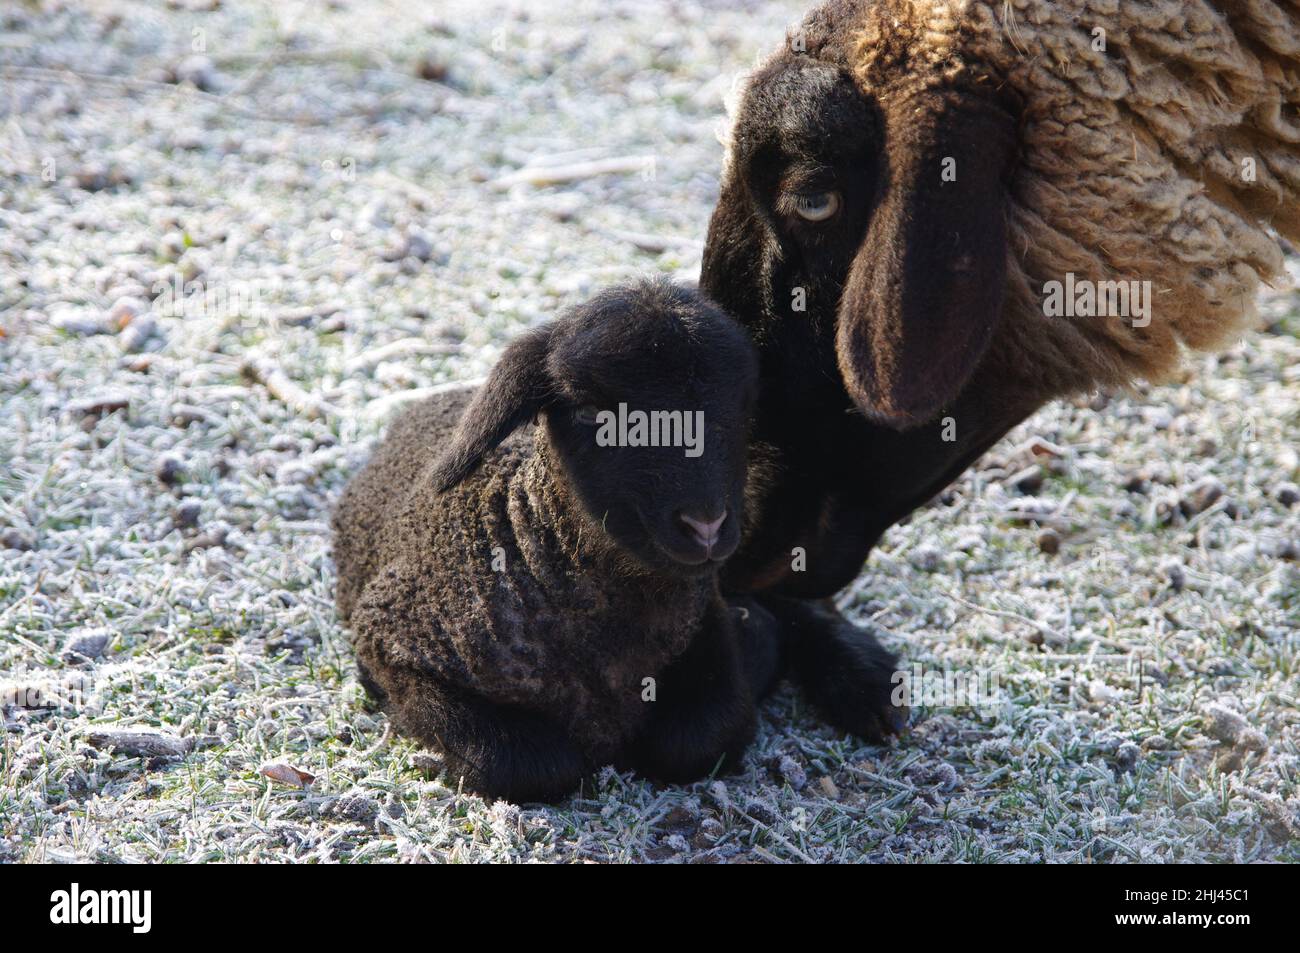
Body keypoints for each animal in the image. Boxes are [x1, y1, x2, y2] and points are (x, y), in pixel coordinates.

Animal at [331, 279, 781, 803]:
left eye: (743, 405)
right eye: (588, 411)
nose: (705, 526)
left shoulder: (707, 622)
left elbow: (703, 737)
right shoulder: (391, 638)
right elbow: (532, 764)